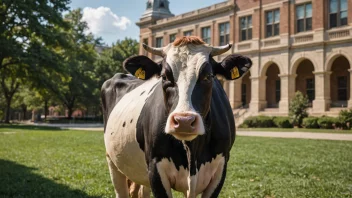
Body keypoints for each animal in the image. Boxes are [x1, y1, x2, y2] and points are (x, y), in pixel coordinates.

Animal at [100, 36, 252, 197]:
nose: (184, 121)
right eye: (164, 76)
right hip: (112, 160)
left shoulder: (221, 168)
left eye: (208, 76)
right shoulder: (155, 167)